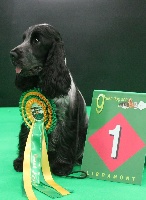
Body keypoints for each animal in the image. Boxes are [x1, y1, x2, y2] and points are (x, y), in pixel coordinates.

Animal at [10, 23, 88, 177]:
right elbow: (25, 137)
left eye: (36, 40)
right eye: (24, 39)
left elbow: (65, 141)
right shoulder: (31, 117)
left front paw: (61, 166)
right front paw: (22, 161)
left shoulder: (66, 121)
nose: (12, 54)